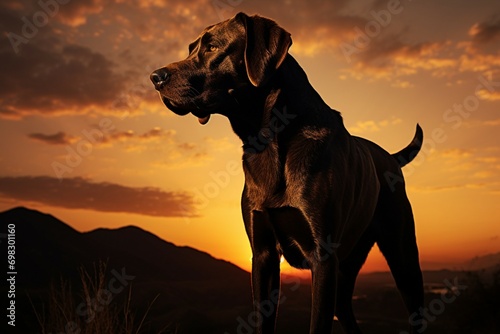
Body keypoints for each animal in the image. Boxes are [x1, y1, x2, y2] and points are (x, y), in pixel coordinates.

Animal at [150, 11, 424, 332]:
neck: (269, 143)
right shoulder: (263, 254)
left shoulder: (323, 257)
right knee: (345, 308)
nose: (155, 77)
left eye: (213, 47)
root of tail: (391, 157)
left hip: (402, 255)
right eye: (191, 48)